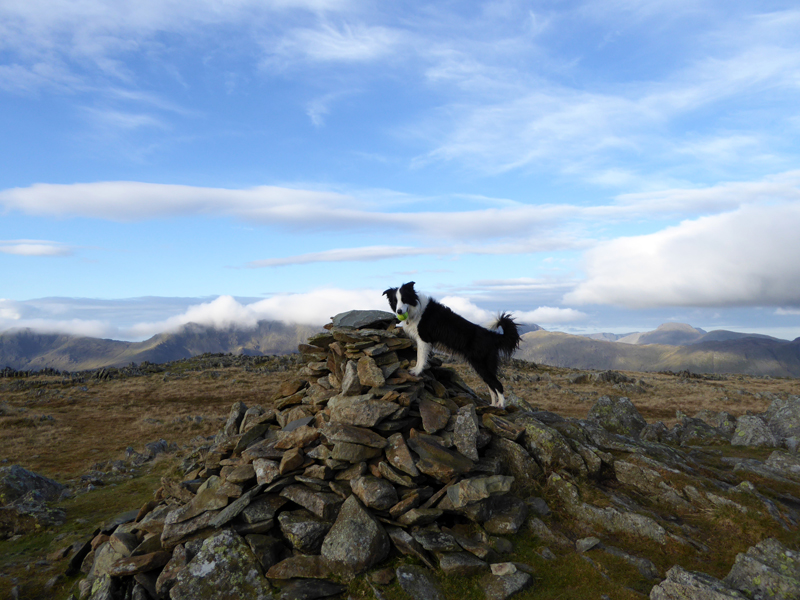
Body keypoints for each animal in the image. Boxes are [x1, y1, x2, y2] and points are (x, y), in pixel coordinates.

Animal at [382, 282, 520, 408]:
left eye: (404, 299)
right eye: (395, 301)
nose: (399, 311)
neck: (416, 309)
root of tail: (491, 335)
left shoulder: (424, 339)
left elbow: (420, 358)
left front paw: (416, 371)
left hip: (480, 363)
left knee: (497, 384)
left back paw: (501, 404)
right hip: (484, 366)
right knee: (491, 385)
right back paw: (493, 405)